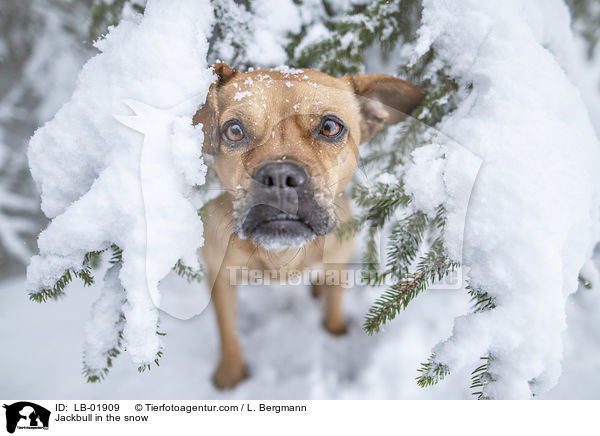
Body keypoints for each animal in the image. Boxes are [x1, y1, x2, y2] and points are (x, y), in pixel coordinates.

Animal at [192, 63, 422, 388]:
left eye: (330, 127)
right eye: (234, 130)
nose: (279, 176)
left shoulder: (337, 263)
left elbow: (333, 307)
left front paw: (335, 334)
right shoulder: (220, 276)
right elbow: (227, 330)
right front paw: (230, 372)